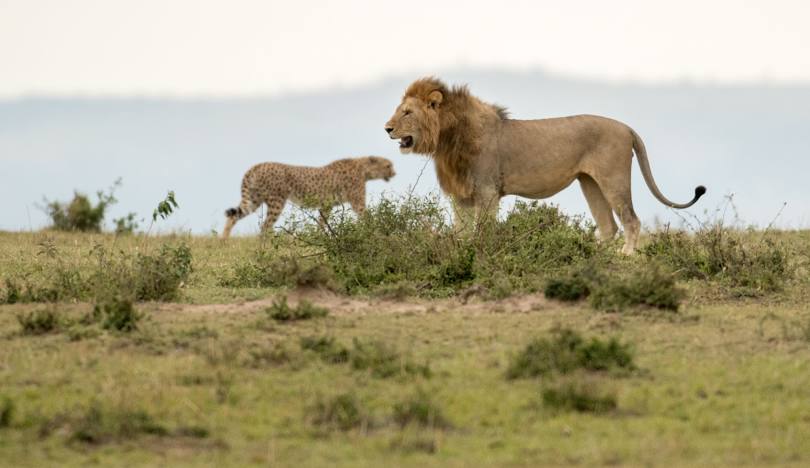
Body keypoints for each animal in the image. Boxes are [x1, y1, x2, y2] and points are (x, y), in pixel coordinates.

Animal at [223, 156, 396, 238]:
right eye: (388, 165)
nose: (394, 173)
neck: (364, 168)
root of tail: (257, 165)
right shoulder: (357, 203)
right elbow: (367, 217)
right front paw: (377, 232)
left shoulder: (327, 205)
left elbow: (321, 222)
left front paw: (321, 236)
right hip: (276, 201)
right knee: (265, 226)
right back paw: (269, 246)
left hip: (255, 199)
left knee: (234, 216)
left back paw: (223, 241)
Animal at [382, 77, 704, 252]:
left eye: (407, 112)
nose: (387, 129)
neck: (448, 140)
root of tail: (626, 127)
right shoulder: (460, 195)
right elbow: (460, 231)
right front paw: (459, 252)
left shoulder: (487, 191)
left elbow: (482, 231)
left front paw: (477, 253)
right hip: (590, 183)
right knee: (608, 226)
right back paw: (589, 253)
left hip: (614, 178)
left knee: (631, 220)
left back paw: (625, 255)